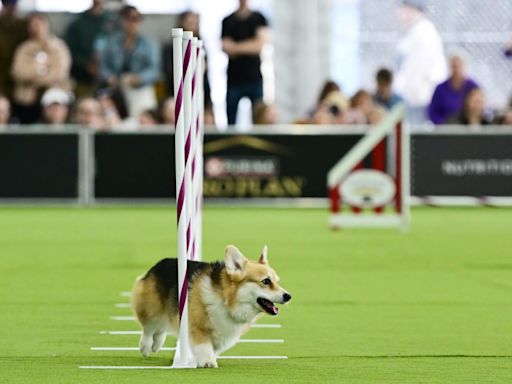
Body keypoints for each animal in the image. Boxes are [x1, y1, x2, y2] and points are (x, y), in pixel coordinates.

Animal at [131, 244, 292, 368]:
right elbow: (204, 346)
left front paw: (208, 359)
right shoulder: (197, 327)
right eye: (266, 281)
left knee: (160, 329)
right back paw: (146, 347)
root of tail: (158, 264)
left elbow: (213, 349)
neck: (227, 300)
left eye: (277, 282)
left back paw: (156, 345)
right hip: (152, 310)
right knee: (149, 328)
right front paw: (208, 362)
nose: (288, 296)